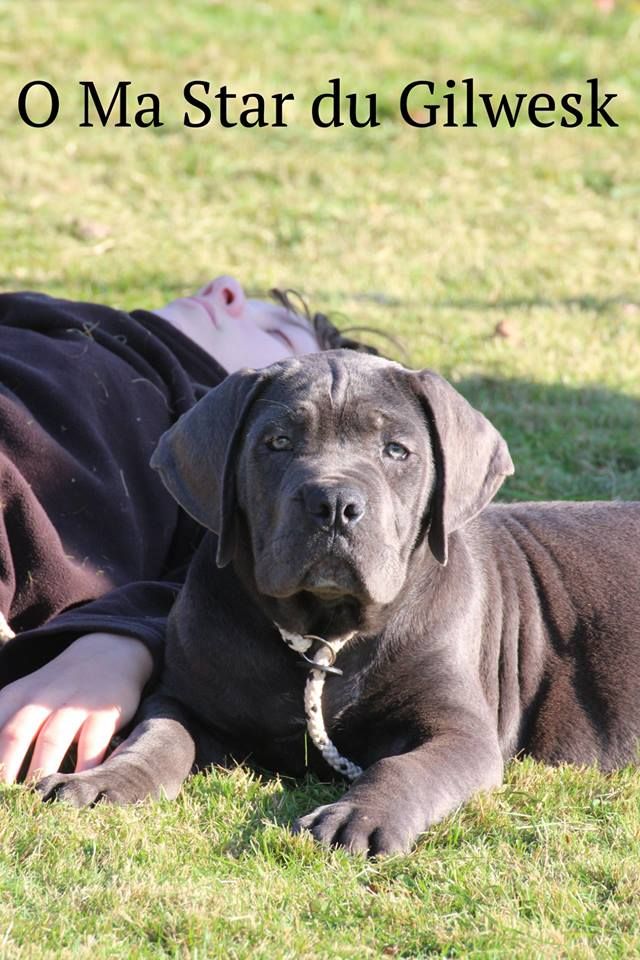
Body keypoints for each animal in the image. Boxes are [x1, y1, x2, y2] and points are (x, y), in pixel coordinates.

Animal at [37, 351, 640, 855]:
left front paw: (358, 817)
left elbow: (403, 768)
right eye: (278, 442)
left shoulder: (461, 733)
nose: (332, 502)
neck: (323, 632)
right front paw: (102, 781)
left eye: (396, 450)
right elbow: (156, 737)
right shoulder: (183, 698)